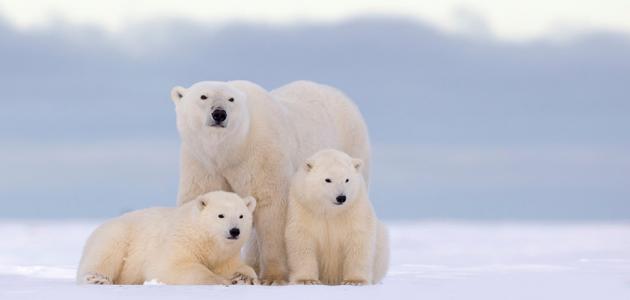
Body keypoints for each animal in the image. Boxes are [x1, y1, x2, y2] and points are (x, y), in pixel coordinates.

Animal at [77, 191, 260, 284]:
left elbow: (237, 267)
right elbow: (171, 266)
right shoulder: (181, 240)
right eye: (221, 215)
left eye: (241, 216)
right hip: (118, 234)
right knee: (105, 253)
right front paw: (219, 280)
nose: (235, 231)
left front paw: (242, 277)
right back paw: (97, 278)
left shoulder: (226, 255)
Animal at [170, 79, 372, 284]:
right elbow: (199, 196)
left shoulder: (262, 153)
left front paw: (273, 277)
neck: (231, 150)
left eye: (231, 99)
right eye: (203, 96)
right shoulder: (201, 162)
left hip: (351, 146)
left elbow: (272, 206)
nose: (219, 113)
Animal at [286, 150, 390, 286]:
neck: (330, 212)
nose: (341, 197)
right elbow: (301, 238)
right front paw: (307, 280)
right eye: (328, 179)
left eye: (347, 179)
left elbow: (358, 239)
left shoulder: (355, 208)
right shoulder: (303, 207)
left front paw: (354, 281)